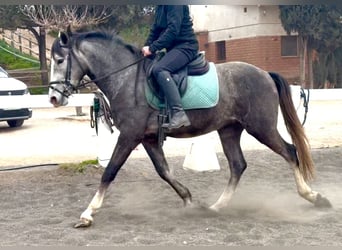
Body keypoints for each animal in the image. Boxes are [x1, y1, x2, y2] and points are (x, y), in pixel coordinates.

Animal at [48, 28, 332, 228]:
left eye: (60, 60)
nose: (53, 98)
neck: (126, 79)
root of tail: (264, 73)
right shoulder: (147, 138)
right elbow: (164, 171)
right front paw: (190, 200)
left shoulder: (130, 136)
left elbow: (110, 172)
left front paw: (88, 214)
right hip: (229, 130)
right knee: (238, 165)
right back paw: (216, 207)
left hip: (261, 128)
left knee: (290, 152)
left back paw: (315, 197)